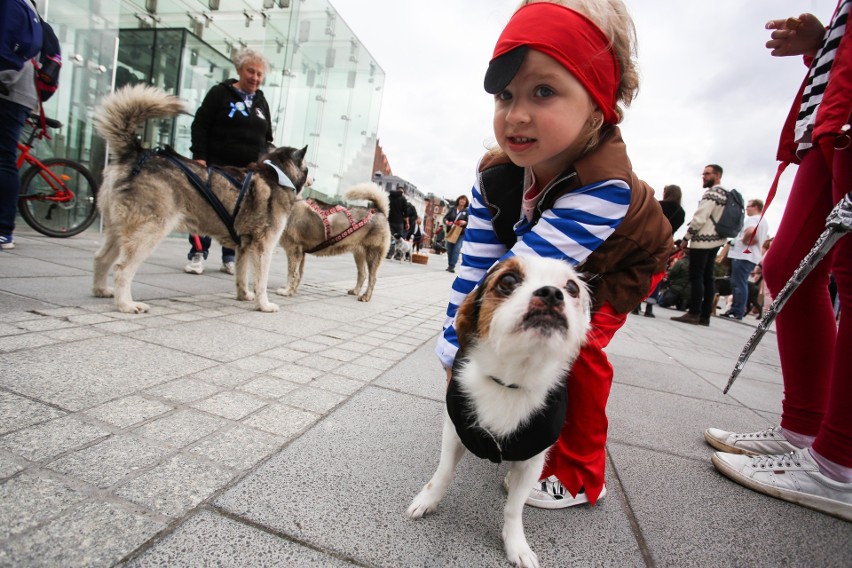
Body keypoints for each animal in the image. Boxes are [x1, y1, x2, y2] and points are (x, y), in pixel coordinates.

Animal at [406, 256, 584, 568]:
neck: (510, 382)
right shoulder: (454, 433)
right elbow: (443, 474)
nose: (552, 293)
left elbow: (514, 508)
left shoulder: (533, 461)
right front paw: (427, 501)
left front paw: (516, 545)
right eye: (508, 281)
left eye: (572, 288)